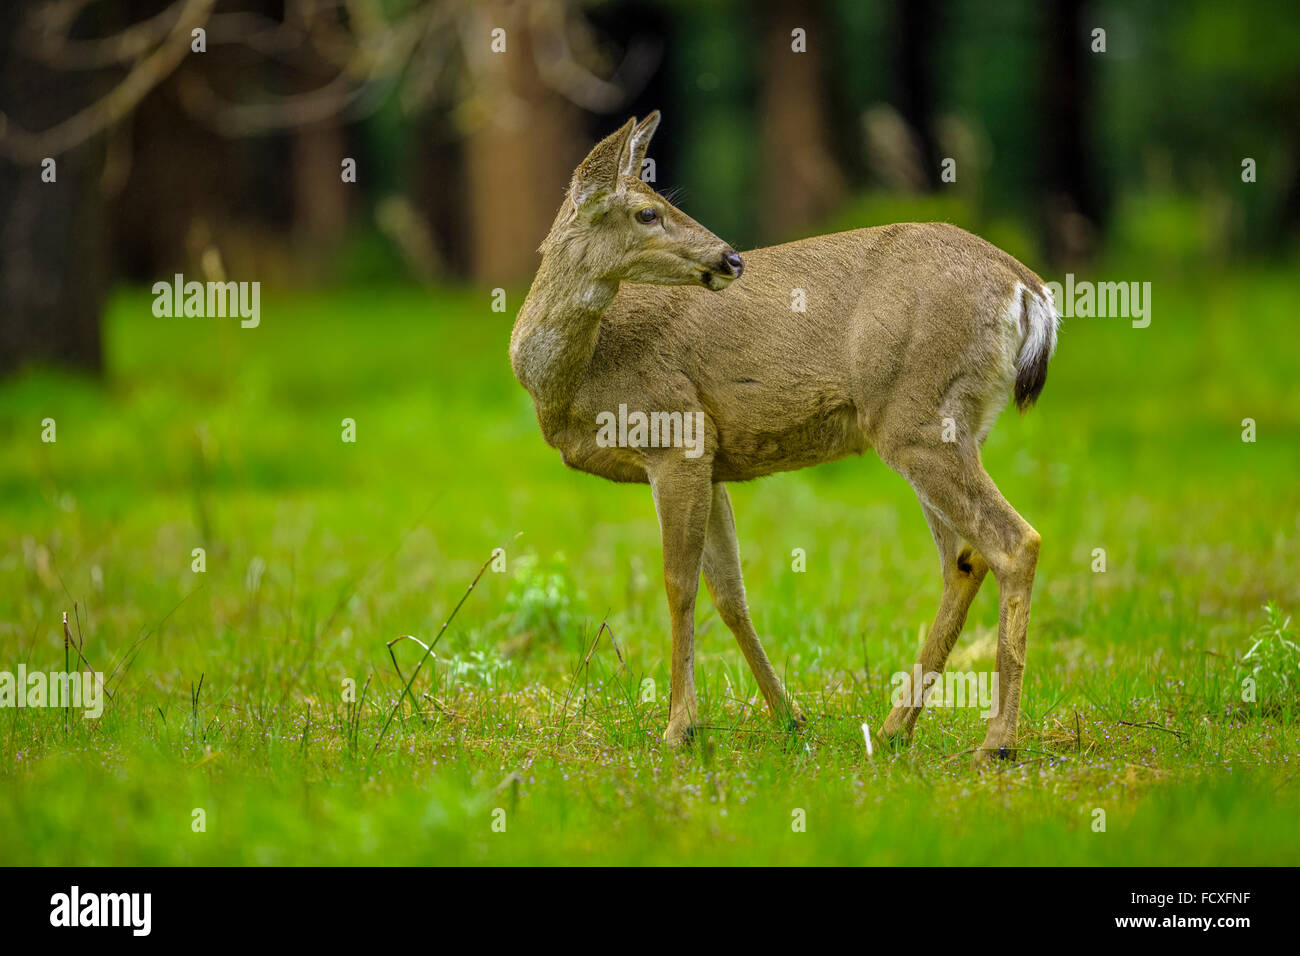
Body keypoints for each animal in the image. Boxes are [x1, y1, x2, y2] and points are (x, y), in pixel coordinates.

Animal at [509, 112, 1059, 763]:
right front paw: (788, 716)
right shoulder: (714, 462)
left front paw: (679, 728)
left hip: (915, 418)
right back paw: (895, 727)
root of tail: (1029, 290)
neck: (573, 379)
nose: (730, 258)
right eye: (647, 211)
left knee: (1014, 542)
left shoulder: (677, 434)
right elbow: (729, 593)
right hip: (952, 423)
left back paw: (996, 742)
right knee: (964, 561)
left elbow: (678, 584)